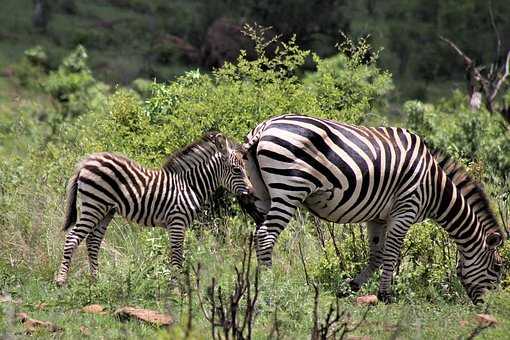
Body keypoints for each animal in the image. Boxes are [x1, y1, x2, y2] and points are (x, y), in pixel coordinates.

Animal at [56, 131, 254, 286]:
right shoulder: (177, 221)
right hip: (94, 204)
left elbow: (176, 255)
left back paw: (96, 280)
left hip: (106, 210)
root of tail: (86, 161)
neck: (188, 185)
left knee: (93, 241)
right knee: (73, 238)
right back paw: (61, 281)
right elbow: (177, 255)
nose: (252, 193)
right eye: (237, 170)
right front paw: (177, 290)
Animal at [241, 114, 504, 302]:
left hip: (264, 192)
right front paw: (386, 295)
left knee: (258, 232)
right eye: (498, 267)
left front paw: (350, 288)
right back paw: (270, 282)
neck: (434, 187)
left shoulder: (378, 218)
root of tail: (264, 127)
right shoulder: (405, 210)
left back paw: (259, 280)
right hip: (289, 188)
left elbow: (376, 256)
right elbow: (391, 254)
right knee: (266, 235)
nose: (488, 306)